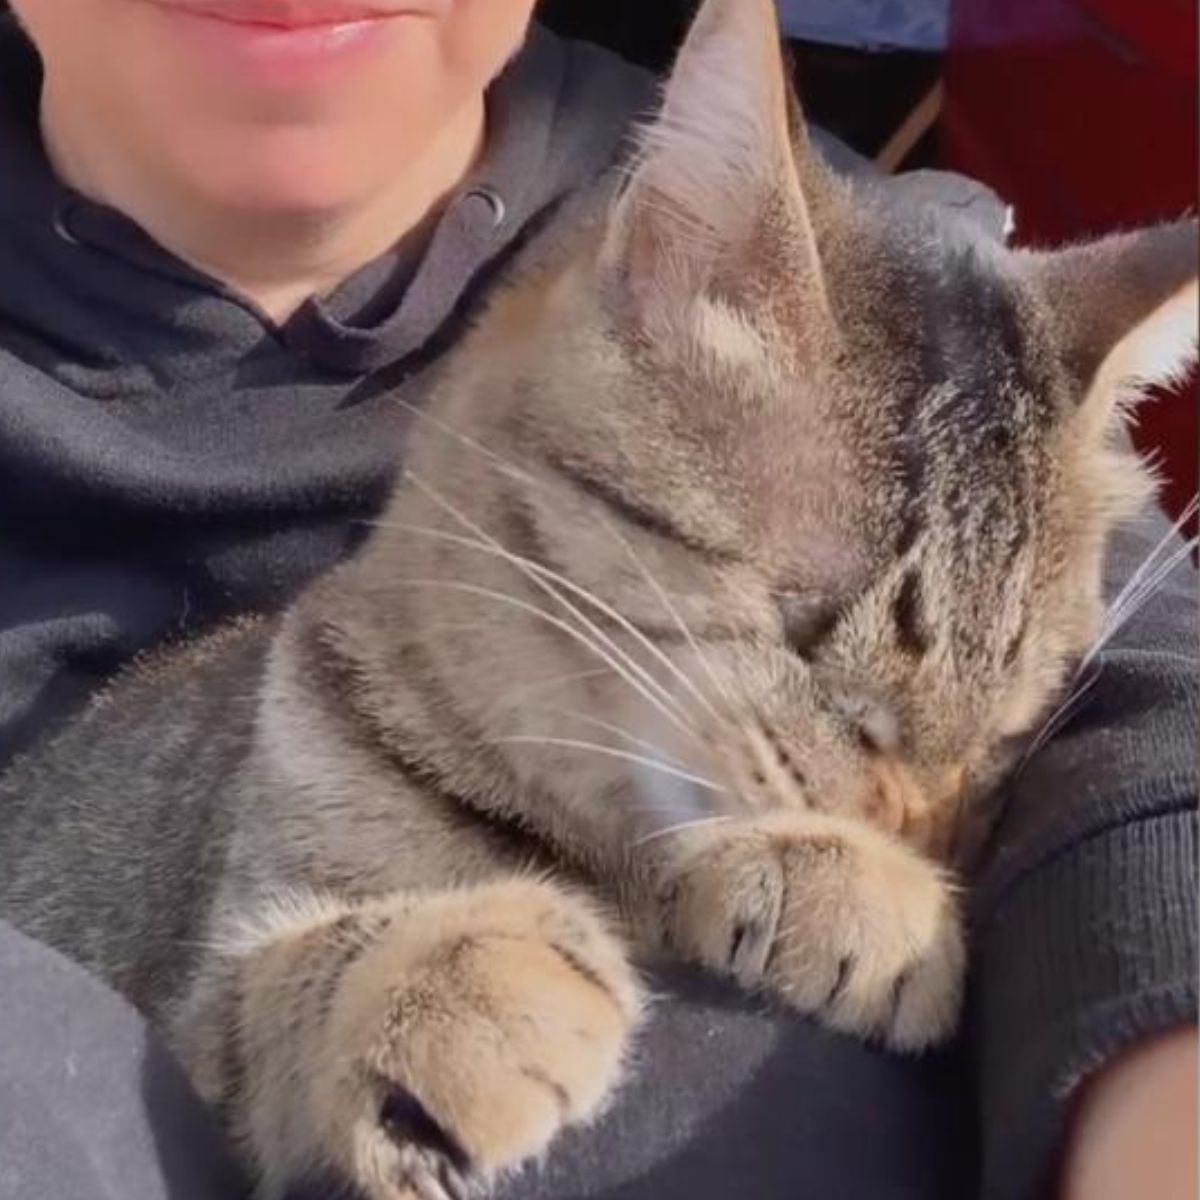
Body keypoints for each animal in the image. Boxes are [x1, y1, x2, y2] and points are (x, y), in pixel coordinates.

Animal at [2, 2, 1200, 1200]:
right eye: (811, 639)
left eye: (1011, 726)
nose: (924, 840)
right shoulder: (195, 993)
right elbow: (267, 990)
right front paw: (454, 974)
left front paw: (834, 881)